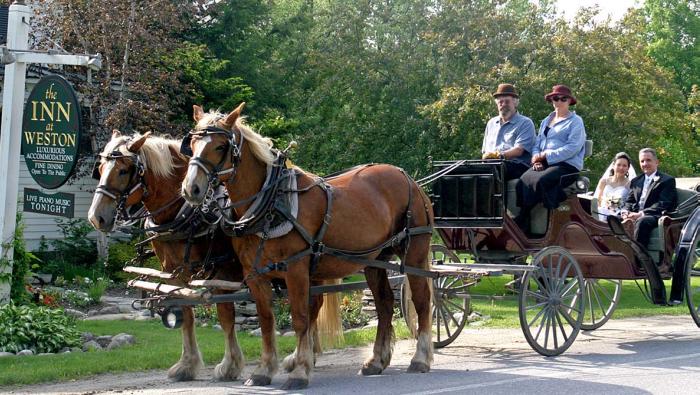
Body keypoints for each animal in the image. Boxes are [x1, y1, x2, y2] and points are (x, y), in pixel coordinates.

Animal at [87, 131, 243, 382]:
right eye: (99, 169)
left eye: (123, 171)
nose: (96, 217)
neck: (185, 213)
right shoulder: (174, 272)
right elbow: (186, 313)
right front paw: (187, 365)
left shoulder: (222, 272)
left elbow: (226, 317)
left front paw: (230, 366)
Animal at [180, 103, 432, 392]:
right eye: (192, 144)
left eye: (221, 146)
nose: (191, 189)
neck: (271, 203)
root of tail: (408, 178)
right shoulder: (255, 275)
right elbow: (266, 320)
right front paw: (263, 370)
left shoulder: (296, 270)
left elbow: (300, 318)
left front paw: (300, 371)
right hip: (373, 260)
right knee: (384, 304)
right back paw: (376, 361)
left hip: (415, 253)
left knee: (422, 300)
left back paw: (421, 358)